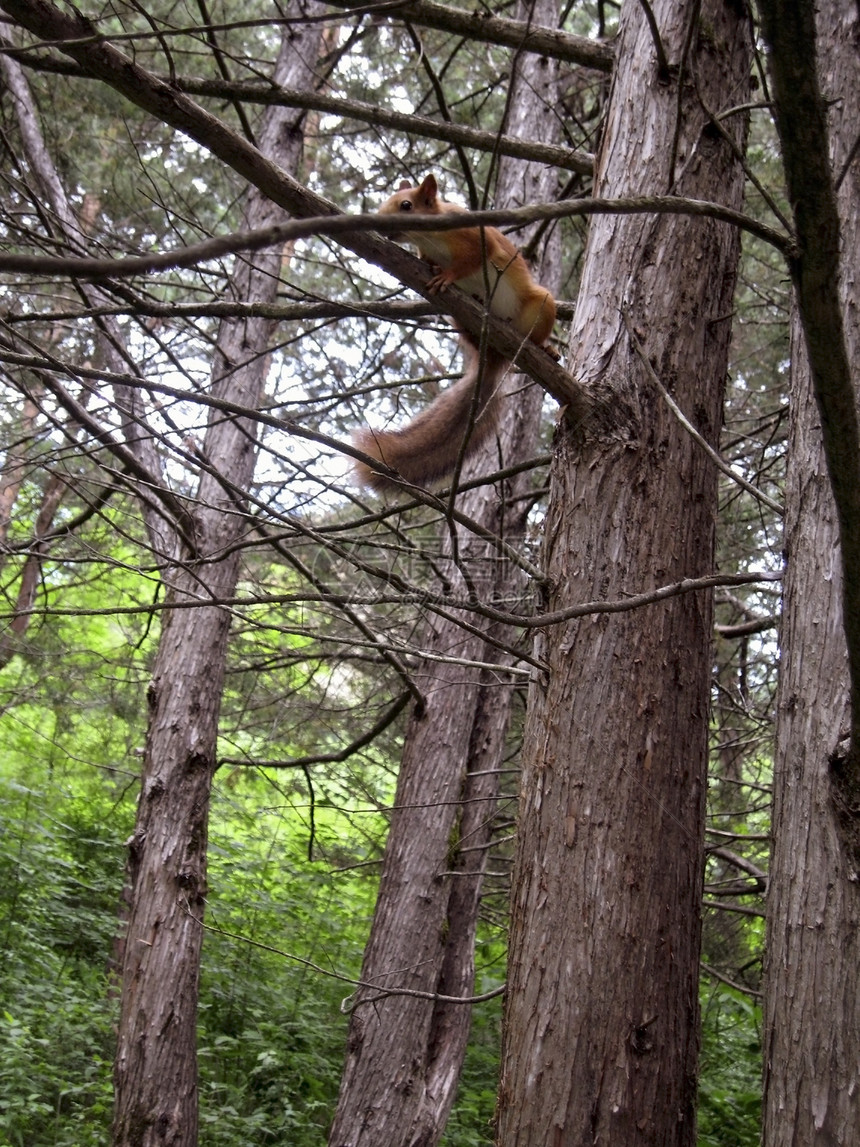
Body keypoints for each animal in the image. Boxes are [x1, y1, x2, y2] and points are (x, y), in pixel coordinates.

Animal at [353, 173, 554, 488]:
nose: (378, 224)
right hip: (460, 319)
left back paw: (545, 347)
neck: (431, 238)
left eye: (406, 205)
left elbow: (471, 261)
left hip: (540, 306)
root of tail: (495, 356)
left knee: (536, 331)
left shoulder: (476, 239)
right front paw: (433, 268)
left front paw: (447, 275)